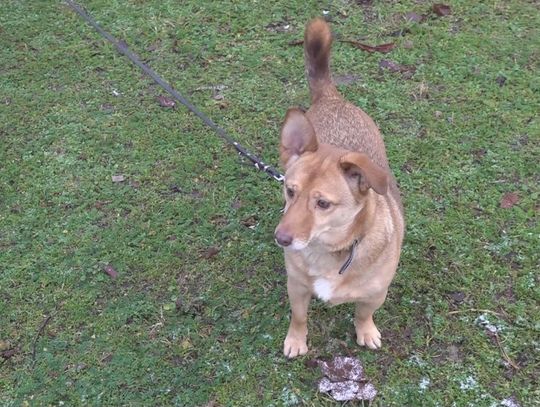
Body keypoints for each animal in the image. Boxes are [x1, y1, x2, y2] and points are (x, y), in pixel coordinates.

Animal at [274, 18, 404, 360]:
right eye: (290, 191)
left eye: (323, 204)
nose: (281, 239)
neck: (328, 251)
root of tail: (331, 98)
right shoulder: (297, 287)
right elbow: (299, 316)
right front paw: (296, 340)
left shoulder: (375, 294)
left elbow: (363, 313)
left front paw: (366, 332)